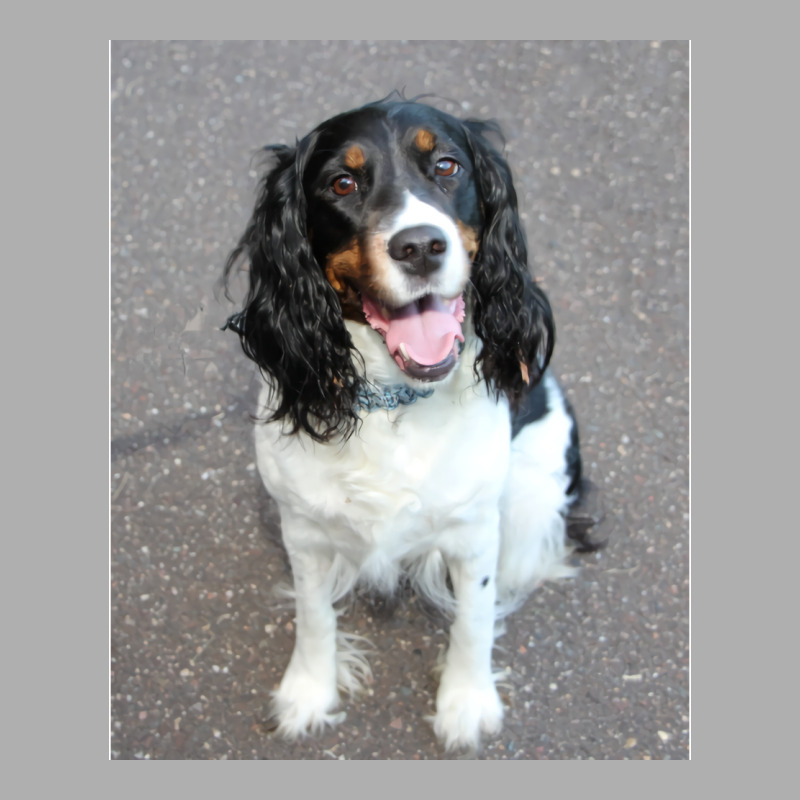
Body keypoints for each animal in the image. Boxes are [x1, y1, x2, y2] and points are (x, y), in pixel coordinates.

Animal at [222, 95, 596, 752]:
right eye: (342, 183)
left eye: (447, 166)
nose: (420, 246)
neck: (395, 402)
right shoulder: (303, 528)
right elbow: (313, 615)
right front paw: (308, 691)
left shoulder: (475, 529)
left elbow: (474, 617)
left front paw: (466, 702)